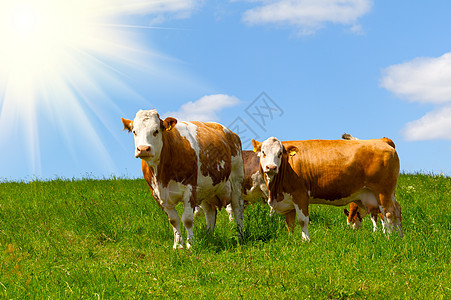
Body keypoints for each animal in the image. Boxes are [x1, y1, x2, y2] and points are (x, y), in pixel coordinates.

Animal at [121, 109, 244, 250]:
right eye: (134, 131)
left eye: (156, 131)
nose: (143, 149)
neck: (161, 176)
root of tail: (230, 132)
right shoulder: (157, 195)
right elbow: (173, 220)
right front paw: (178, 245)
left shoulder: (190, 189)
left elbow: (187, 219)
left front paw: (191, 244)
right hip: (207, 190)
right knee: (210, 213)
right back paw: (209, 237)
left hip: (236, 180)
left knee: (237, 209)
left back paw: (239, 236)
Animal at [252, 137, 404, 241]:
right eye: (263, 152)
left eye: (279, 153)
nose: (271, 167)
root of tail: (381, 140)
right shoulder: (287, 200)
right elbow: (290, 223)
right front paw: (292, 240)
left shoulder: (300, 194)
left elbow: (302, 220)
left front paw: (306, 241)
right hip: (385, 194)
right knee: (396, 210)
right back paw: (399, 236)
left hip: (383, 191)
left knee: (388, 213)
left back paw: (390, 238)